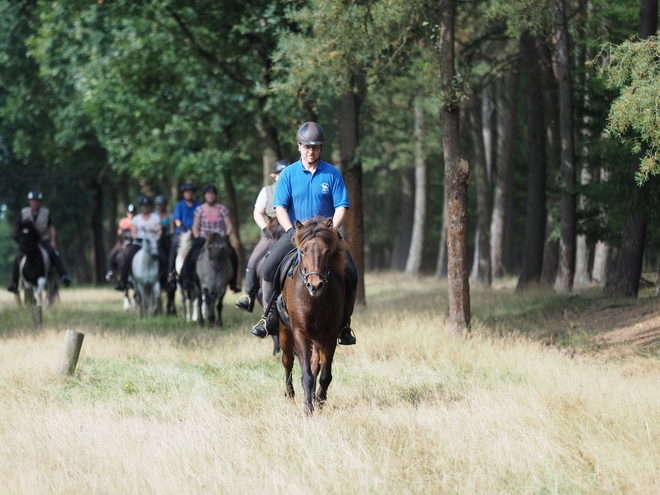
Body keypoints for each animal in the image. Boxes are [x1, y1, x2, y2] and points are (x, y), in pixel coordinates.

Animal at [278, 217, 348, 414]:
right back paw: (290, 395)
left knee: (315, 363)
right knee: (287, 361)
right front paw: (308, 409)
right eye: (302, 251)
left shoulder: (330, 336)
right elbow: (307, 374)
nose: (315, 285)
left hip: (318, 338)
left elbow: (325, 375)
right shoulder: (301, 333)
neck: (316, 301)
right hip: (285, 331)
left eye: (327, 251)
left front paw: (319, 402)